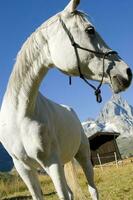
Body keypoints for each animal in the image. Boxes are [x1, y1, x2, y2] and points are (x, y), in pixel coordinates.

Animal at [0, 0, 131, 200]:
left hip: (83, 157)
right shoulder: (24, 169)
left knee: (92, 189)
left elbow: (64, 194)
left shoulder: (51, 163)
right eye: (90, 30)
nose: (127, 73)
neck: (20, 115)